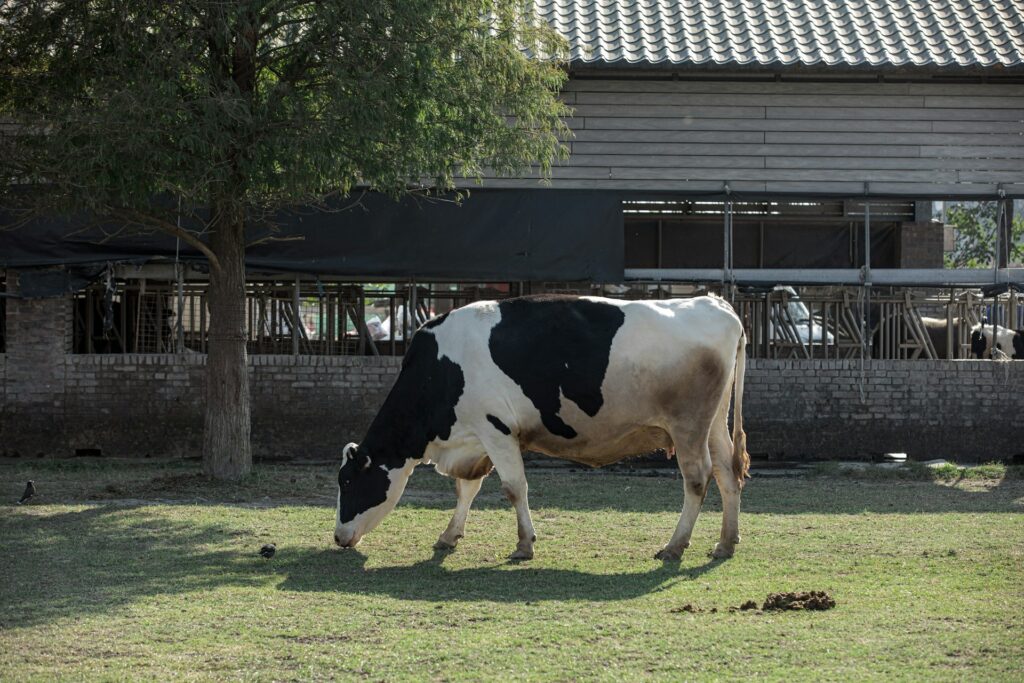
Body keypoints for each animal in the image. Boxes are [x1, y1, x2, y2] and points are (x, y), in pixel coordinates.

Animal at [334, 294, 750, 562]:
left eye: (348, 482)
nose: (338, 537)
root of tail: (715, 302)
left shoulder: (495, 429)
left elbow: (513, 488)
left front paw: (524, 544)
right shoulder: (475, 438)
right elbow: (467, 488)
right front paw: (449, 536)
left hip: (688, 425)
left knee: (698, 478)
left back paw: (675, 545)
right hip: (714, 423)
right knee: (727, 472)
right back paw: (726, 543)